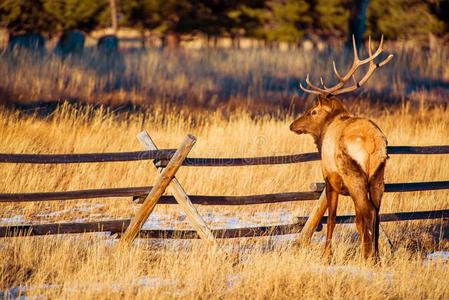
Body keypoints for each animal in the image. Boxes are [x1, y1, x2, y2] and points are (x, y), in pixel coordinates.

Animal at [290, 36, 392, 258]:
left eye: (312, 111)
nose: (292, 125)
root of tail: (373, 144)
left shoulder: (329, 177)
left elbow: (332, 217)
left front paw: (326, 255)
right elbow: (355, 220)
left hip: (353, 174)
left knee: (367, 212)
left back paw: (367, 256)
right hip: (378, 175)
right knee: (376, 212)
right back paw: (376, 256)